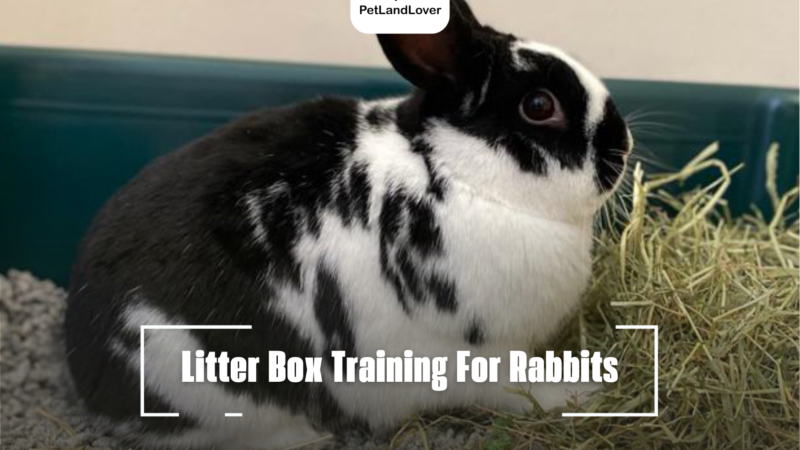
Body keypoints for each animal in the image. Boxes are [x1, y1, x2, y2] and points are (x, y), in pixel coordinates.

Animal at [64, 0, 633, 448]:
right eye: (539, 105)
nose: (622, 146)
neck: (451, 171)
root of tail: (81, 360)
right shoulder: (478, 353)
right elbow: (521, 386)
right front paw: (587, 391)